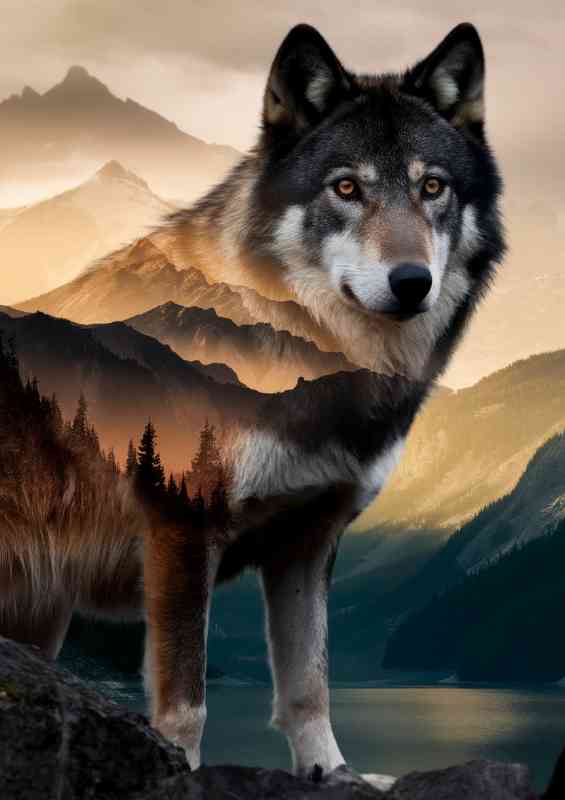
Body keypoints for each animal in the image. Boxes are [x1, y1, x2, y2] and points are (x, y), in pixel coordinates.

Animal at [0, 21, 504, 781]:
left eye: (432, 187)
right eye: (346, 187)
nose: (411, 281)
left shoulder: (308, 541)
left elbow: (308, 685)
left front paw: (333, 774)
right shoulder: (182, 526)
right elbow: (186, 701)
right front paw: (181, 772)